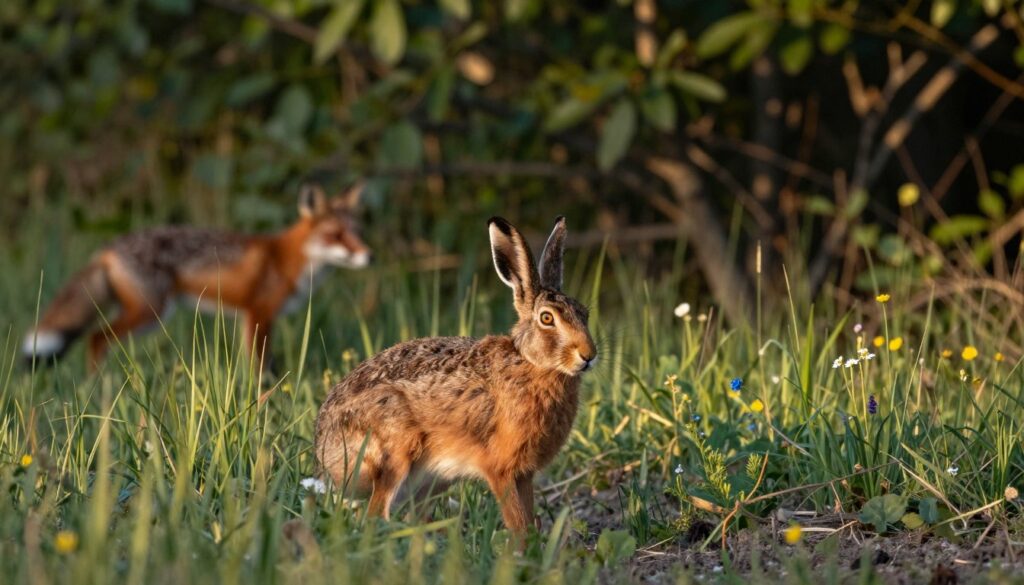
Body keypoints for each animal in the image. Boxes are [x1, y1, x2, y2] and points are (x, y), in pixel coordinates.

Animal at [22, 183, 371, 370]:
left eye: (357, 232)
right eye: (336, 235)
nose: (369, 256)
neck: (286, 258)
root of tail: (108, 247)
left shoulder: (252, 317)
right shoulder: (258, 313)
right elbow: (258, 367)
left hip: (149, 315)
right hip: (150, 312)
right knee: (96, 339)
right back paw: (96, 390)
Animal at [314, 216, 597, 536]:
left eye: (584, 314)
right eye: (547, 318)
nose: (588, 355)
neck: (531, 363)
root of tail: (325, 457)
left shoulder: (524, 474)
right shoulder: (501, 470)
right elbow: (517, 522)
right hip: (392, 451)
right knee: (376, 515)